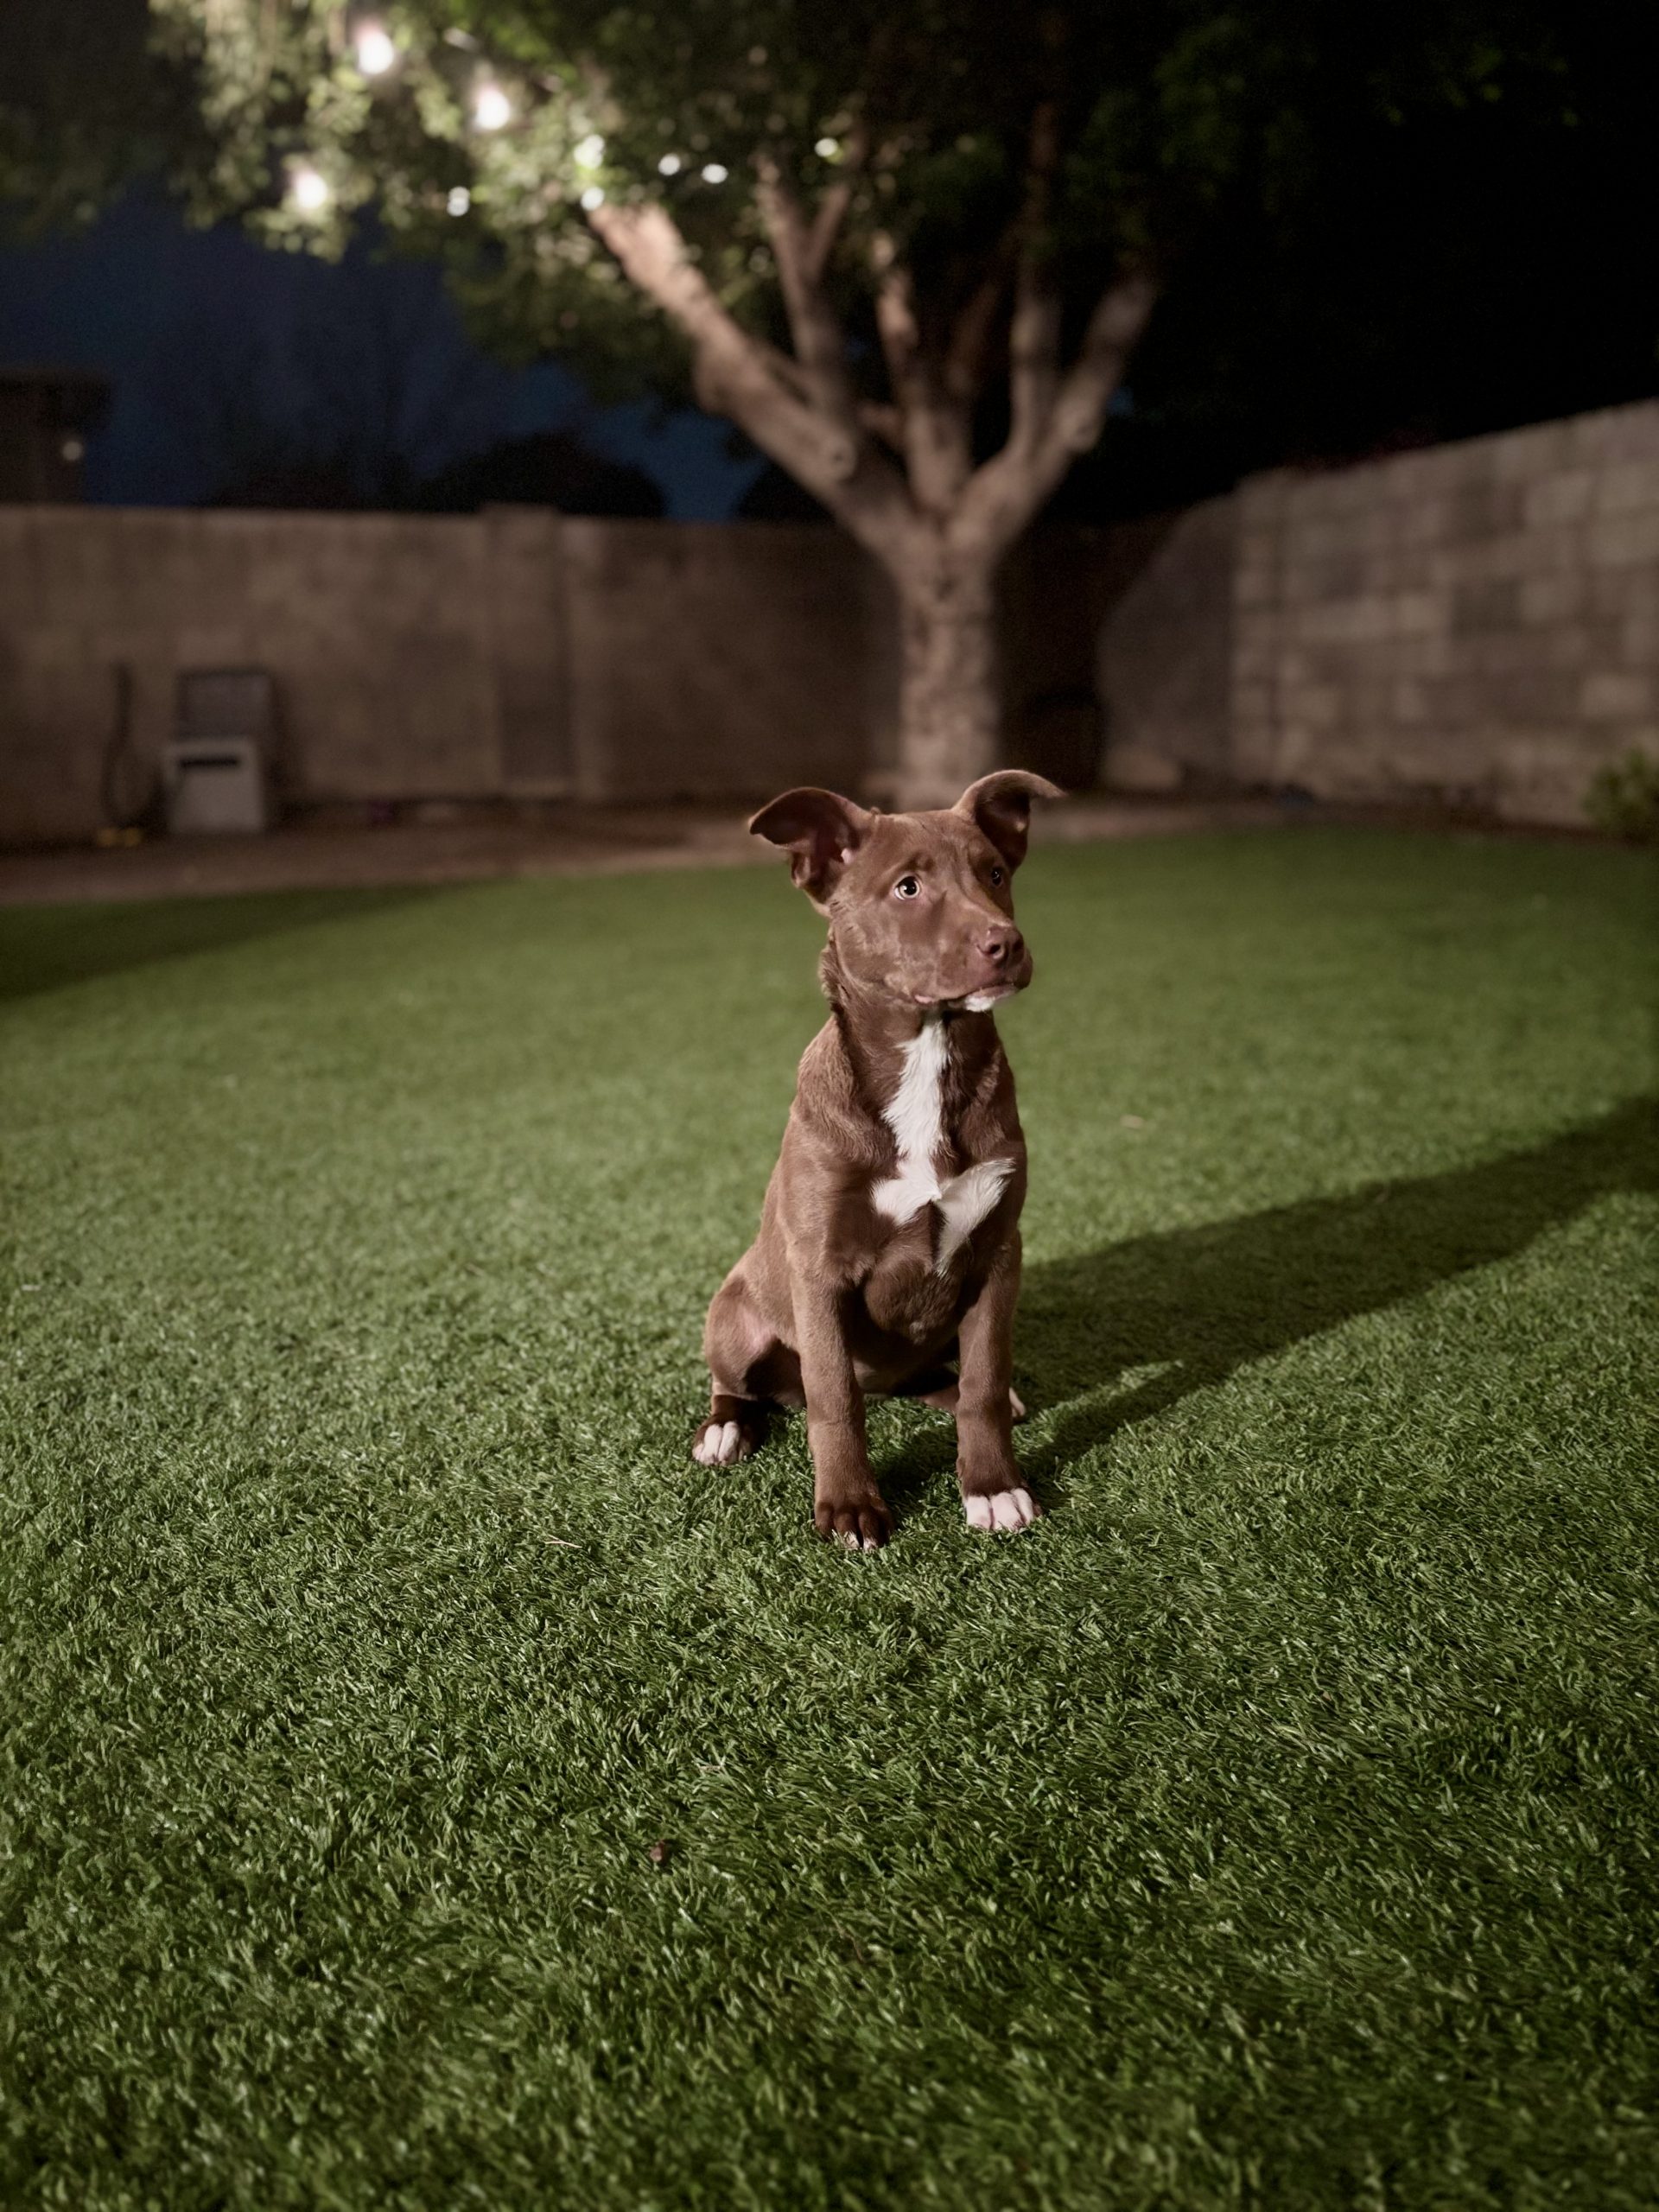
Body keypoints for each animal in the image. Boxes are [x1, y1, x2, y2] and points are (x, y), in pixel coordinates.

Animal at [691, 770, 1064, 1548]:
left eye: (995, 874)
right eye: (907, 888)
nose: (1005, 942)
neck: (925, 1057)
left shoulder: (998, 1254)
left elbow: (984, 1380)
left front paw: (993, 1488)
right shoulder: (821, 1270)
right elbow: (834, 1399)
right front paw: (850, 1508)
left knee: (942, 1379)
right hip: (734, 1314)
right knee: (741, 1385)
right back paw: (726, 1429)